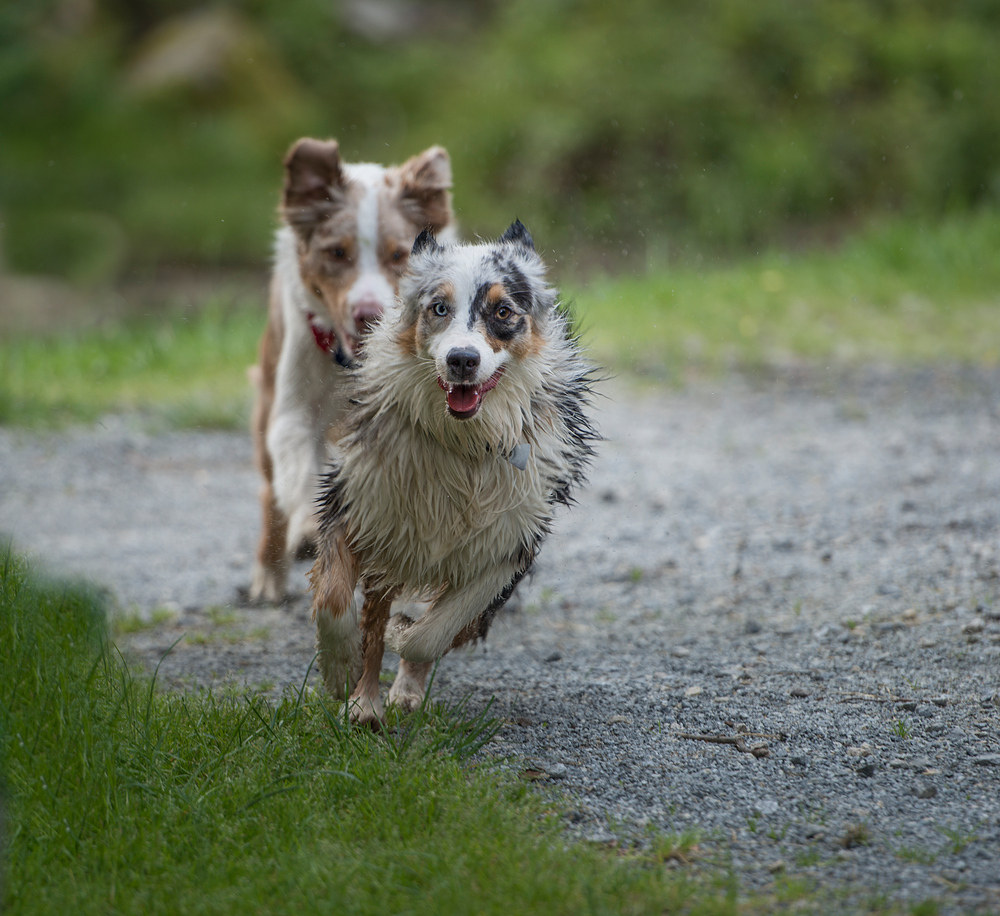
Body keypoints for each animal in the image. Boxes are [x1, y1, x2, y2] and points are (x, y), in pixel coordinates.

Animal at [250, 140, 454, 604]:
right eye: (336, 253)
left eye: (399, 254)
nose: (368, 313)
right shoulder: (293, 408)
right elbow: (299, 469)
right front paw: (311, 529)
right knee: (273, 492)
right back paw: (272, 568)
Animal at [308, 220, 596, 724]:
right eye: (439, 308)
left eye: (503, 311)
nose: (462, 359)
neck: (463, 442)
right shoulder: (355, 504)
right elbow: (335, 601)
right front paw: (340, 669)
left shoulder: (508, 546)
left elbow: (433, 635)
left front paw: (406, 636)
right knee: (373, 613)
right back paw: (365, 702)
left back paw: (403, 685)